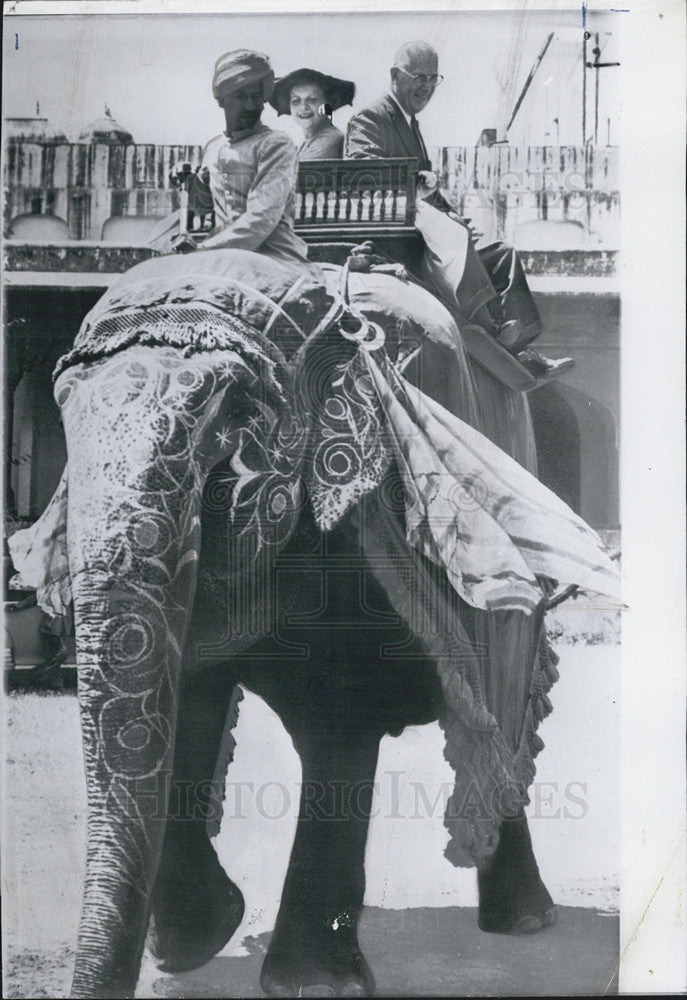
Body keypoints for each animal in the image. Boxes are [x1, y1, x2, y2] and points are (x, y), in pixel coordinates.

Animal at [9, 244, 624, 1000]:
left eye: (228, 430)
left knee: (501, 721)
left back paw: (523, 921)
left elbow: (340, 713)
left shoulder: (363, 538)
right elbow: (182, 700)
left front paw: (312, 984)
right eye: (64, 421)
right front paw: (197, 942)